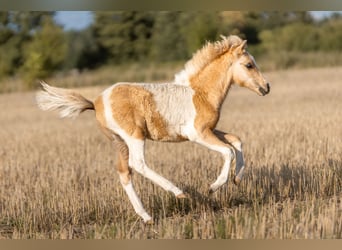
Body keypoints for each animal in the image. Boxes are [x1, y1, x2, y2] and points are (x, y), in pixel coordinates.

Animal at [35, 34, 270, 223]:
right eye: (249, 65)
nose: (266, 87)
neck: (200, 93)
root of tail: (96, 102)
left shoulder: (211, 130)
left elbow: (237, 141)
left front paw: (237, 178)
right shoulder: (198, 134)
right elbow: (228, 151)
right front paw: (213, 187)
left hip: (119, 142)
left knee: (124, 172)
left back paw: (146, 216)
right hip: (134, 136)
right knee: (137, 164)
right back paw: (178, 192)